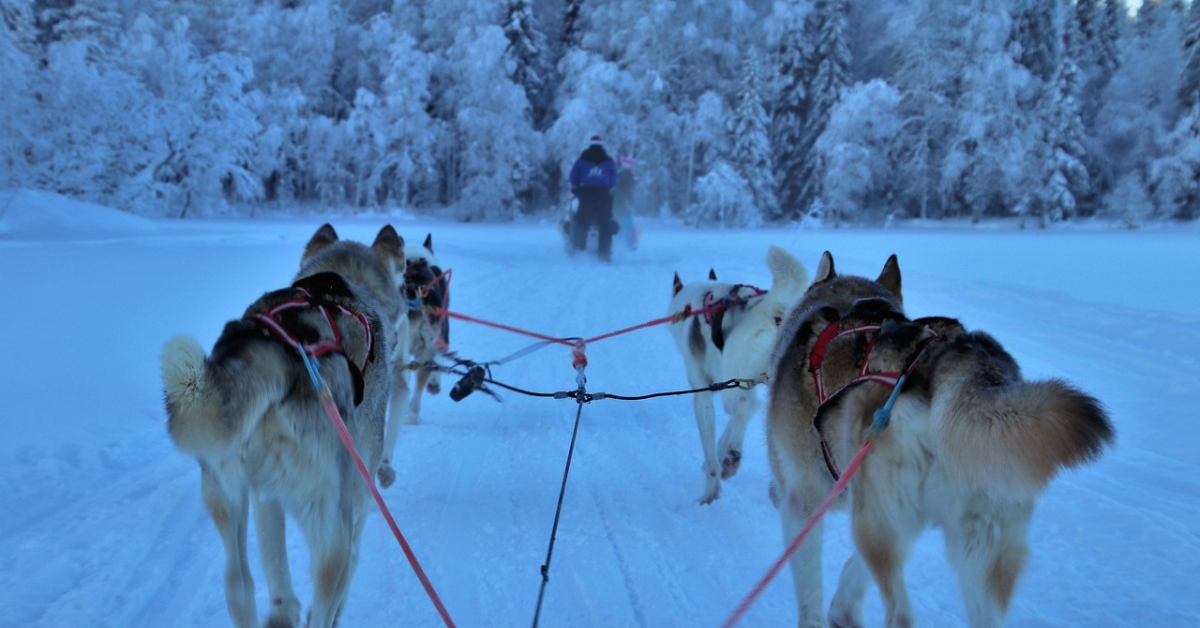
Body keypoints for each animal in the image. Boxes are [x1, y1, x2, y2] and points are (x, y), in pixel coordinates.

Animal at [159, 223, 405, 624]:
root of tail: (279, 349)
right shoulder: (358, 499)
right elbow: (351, 568)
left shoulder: (265, 497)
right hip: (331, 525)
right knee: (325, 594)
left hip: (225, 492)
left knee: (241, 586)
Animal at [672, 248, 811, 504]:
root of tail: (775, 309)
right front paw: (720, 456)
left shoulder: (704, 392)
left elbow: (712, 447)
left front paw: (710, 489)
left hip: (734, 378)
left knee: (743, 404)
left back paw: (733, 456)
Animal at [763, 252, 1108, 628]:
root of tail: (949, 360)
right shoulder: (901, 521)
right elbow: (854, 572)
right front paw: (844, 611)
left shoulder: (804, 505)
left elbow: (810, 593)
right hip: (976, 545)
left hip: (875, 524)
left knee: (900, 614)